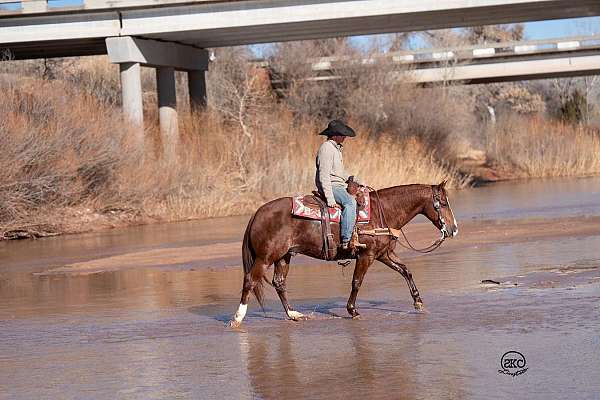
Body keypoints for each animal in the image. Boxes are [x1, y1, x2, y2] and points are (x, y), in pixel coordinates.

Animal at [230, 181, 460, 328]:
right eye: (443, 203)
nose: (454, 229)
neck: (382, 212)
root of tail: (258, 213)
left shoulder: (384, 254)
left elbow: (406, 271)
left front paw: (418, 302)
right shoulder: (367, 256)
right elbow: (357, 282)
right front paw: (353, 311)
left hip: (283, 257)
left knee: (279, 283)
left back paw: (293, 314)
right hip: (265, 258)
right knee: (250, 280)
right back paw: (237, 318)